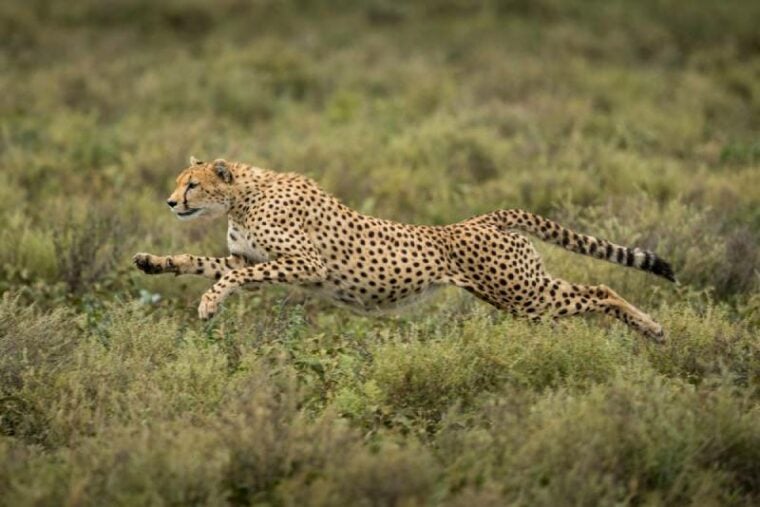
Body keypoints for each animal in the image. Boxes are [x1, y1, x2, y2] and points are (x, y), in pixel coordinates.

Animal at [132, 159, 676, 342]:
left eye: (193, 184)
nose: (171, 201)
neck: (243, 195)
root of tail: (483, 218)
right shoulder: (251, 258)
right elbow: (204, 263)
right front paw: (154, 262)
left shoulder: (304, 264)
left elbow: (230, 277)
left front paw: (208, 304)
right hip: (520, 293)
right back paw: (650, 329)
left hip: (524, 295)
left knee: (601, 289)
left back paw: (652, 328)